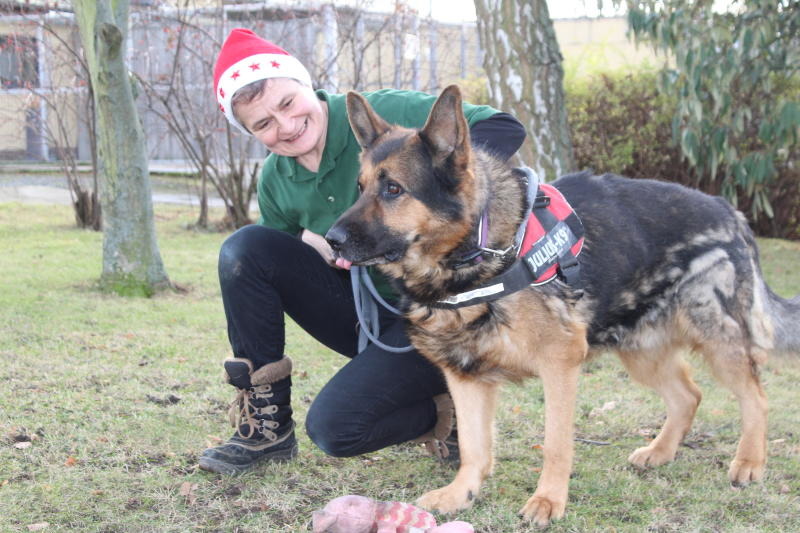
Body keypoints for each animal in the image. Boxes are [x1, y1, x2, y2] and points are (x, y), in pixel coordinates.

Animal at [324, 86, 800, 524]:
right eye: (360, 188)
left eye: (393, 189)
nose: (331, 240)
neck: (482, 250)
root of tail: (728, 210)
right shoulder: (464, 376)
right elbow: (474, 446)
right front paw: (463, 493)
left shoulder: (559, 363)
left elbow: (555, 443)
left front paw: (548, 501)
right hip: (641, 351)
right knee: (689, 395)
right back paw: (661, 452)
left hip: (715, 339)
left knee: (756, 396)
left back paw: (749, 462)